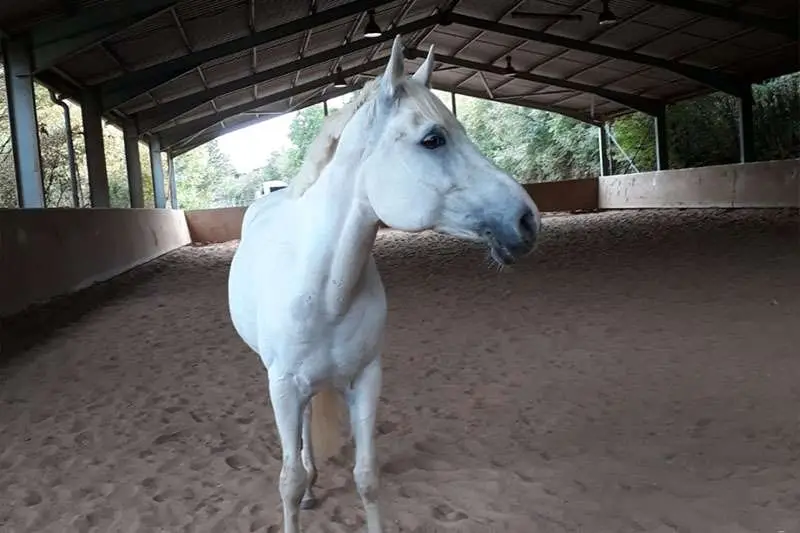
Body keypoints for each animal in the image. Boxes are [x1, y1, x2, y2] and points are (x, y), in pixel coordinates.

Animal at [227, 35, 541, 533]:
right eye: (433, 139)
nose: (527, 221)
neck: (325, 290)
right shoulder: (283, 386)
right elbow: (288, 482)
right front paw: (302, 489)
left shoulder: (367, 380)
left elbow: (367, 477)